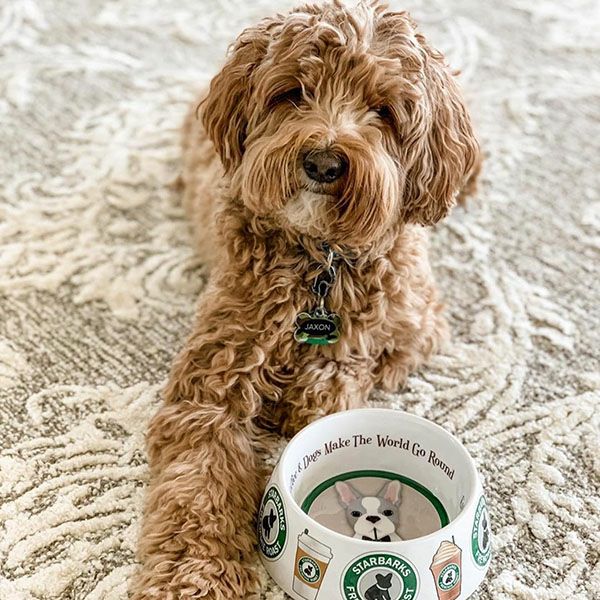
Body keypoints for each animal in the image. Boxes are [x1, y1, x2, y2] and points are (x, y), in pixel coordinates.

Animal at [131, 2, 478, 596]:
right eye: (293, 93)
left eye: (383, 110)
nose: (323, 162)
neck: (320, 260)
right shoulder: (208, 392)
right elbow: (197, 488)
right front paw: (194, 575)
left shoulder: (419, 327)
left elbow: (354, 369)